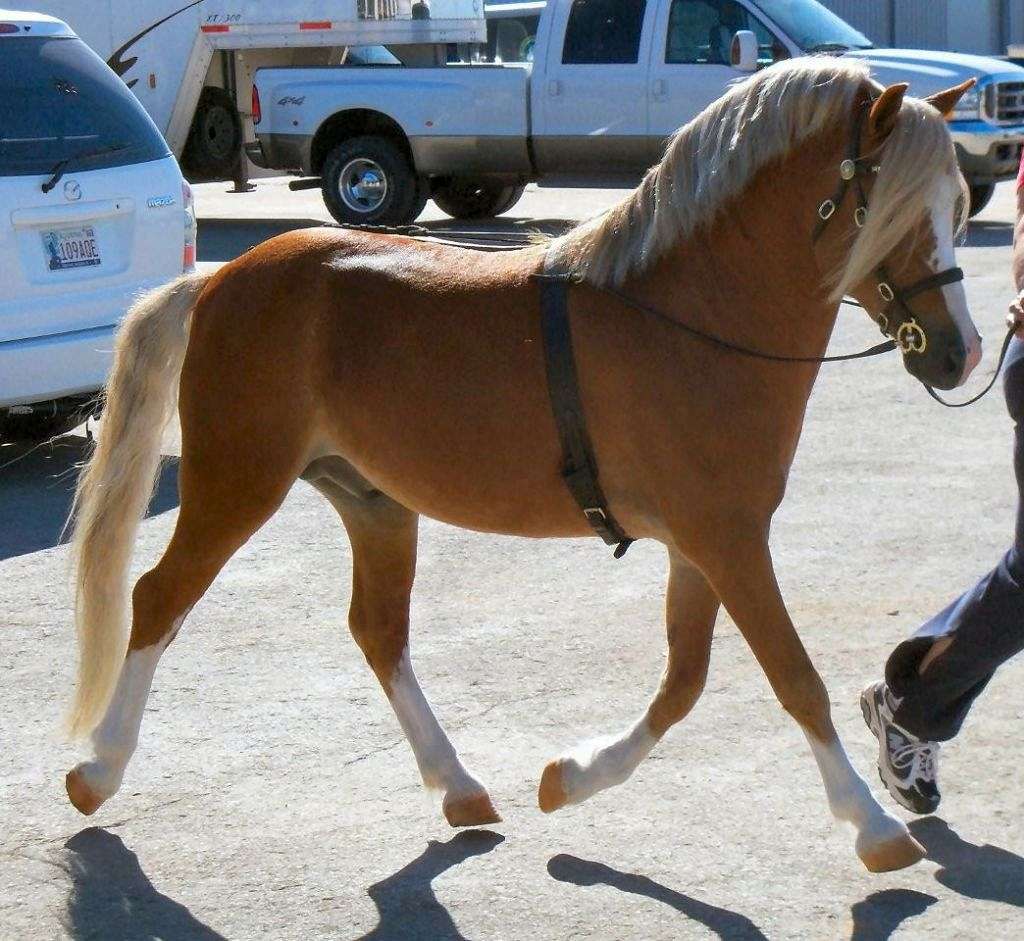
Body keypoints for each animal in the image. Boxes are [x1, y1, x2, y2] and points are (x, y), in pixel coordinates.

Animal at [63, 58, 980, 873]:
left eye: (961, 207)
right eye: (892, 206)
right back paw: (97, 771)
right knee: (160, 598)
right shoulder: (728, 540)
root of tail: (217, 286)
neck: (690, 315)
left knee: (378, 630)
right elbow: (794, 677)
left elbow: (683, 682)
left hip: (373, 502)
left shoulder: (705, 545)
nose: (959, 352)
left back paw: (458, 785)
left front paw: (571, 778)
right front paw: (871, 826)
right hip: (238, 481)